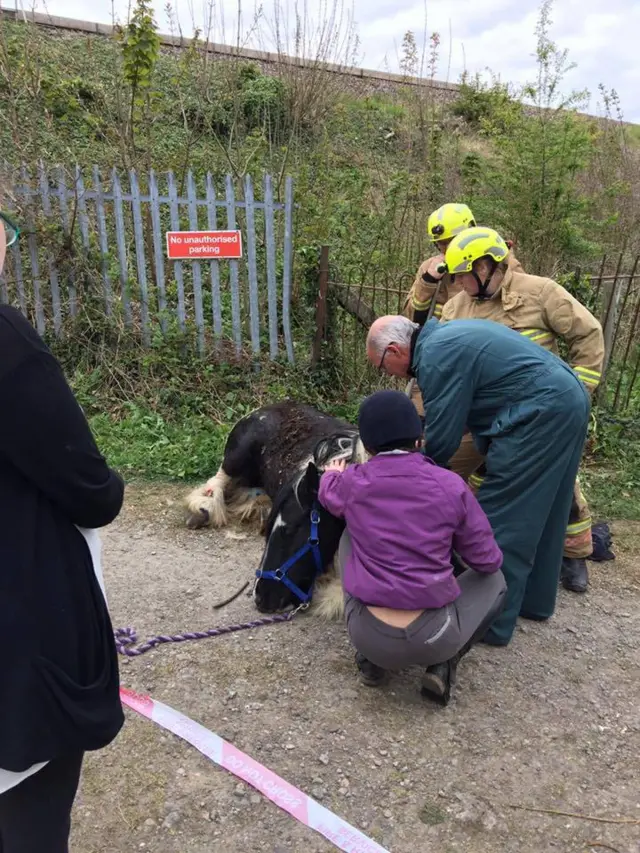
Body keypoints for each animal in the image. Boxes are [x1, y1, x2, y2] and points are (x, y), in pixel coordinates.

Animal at [182, 402, 368, 616]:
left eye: (290, 530)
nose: (260, 597)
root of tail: (266, 408)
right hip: (235, 458)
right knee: (217, 481)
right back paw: (202, 511)